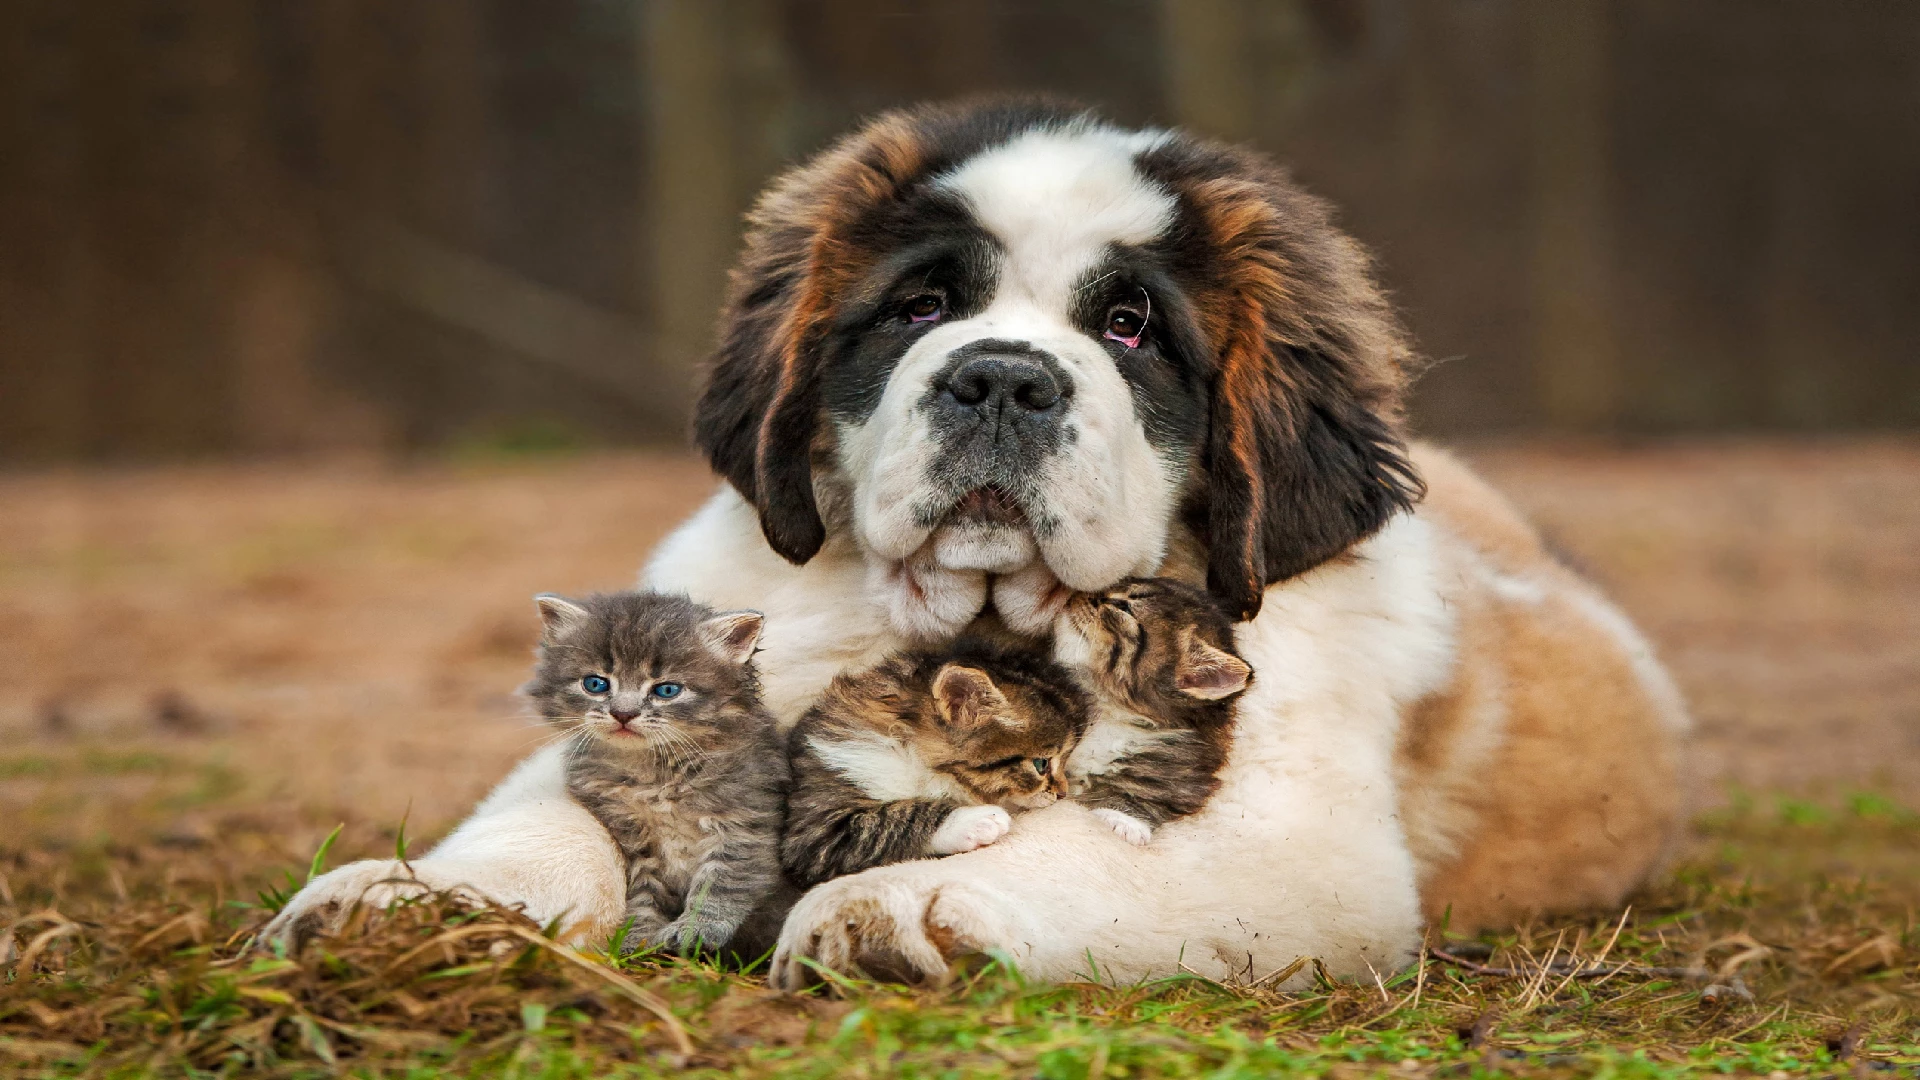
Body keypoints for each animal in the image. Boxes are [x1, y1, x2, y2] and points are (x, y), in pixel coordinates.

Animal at [522, 591, 791, 953]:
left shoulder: (744, 824)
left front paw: (695, 930)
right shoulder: (634, 840)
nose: (623, 713)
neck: (653, 773)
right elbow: (642, 893)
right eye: (595, 684)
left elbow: (721, 883)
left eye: (666, 690)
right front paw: (637, 939)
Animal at [1059, 576, 1251, 845]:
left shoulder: (1183, 772)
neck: (1108, 710)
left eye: (1124, 607)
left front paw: (1123, 820)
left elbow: (1148, 792)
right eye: (1122, 584)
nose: (1078, 593)